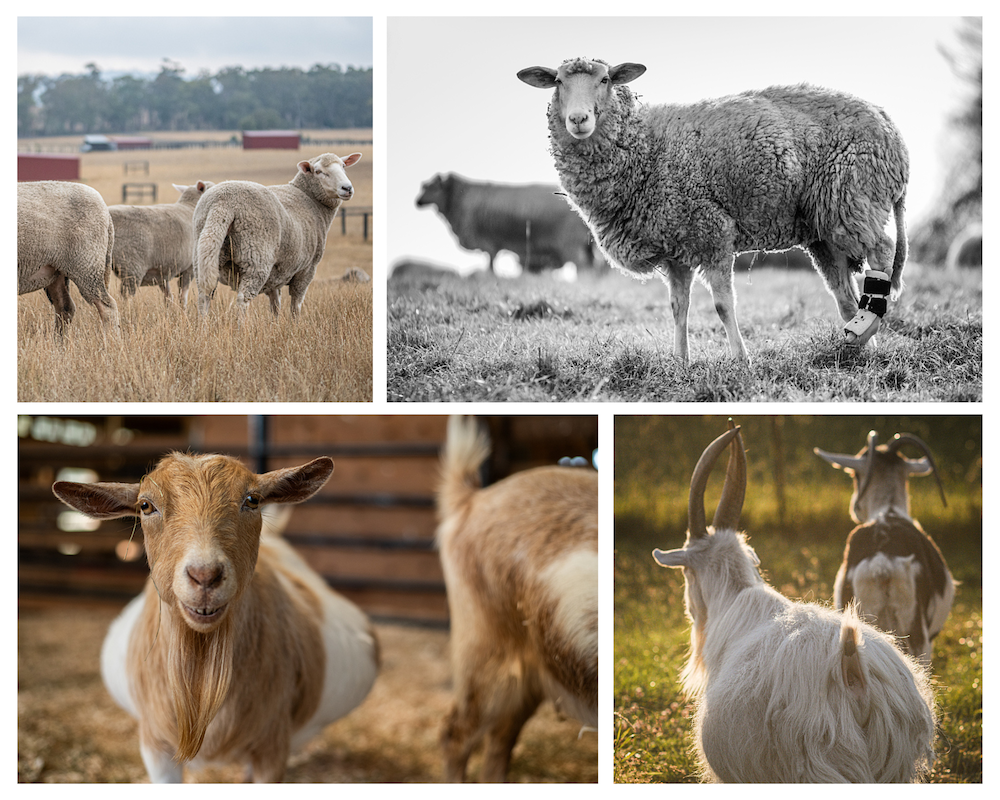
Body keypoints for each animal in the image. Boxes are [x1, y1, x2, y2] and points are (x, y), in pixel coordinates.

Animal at [17, 180, 120, 335]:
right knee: (65, 308)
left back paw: (112, 340)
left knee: (107, 306)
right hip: (56, 270)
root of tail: (106, 212)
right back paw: (58, 341)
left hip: (87, 265)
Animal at [193, 152, 362, 316]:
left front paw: (275, 322)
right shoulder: (307, 270)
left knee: (204, 295)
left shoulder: (276, 272)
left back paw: (204, 323)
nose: (347, 188)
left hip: (206, 251)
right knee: (243, 299)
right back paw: (242, 325)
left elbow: (275, 304)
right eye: (319, 171)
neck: (310, 199)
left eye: (343, 166)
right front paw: (295, 323)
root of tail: (223, 202)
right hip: (256, 258)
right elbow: (296, 304)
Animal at [518, 58, 910, 361]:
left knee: (882, 251)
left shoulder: (711, 233)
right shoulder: (675, 247)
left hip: (853, 197)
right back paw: (861, 346)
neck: (645, 148)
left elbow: (722, 306)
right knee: (844, 294)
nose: (578, 119)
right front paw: (680, 361)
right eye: (557, 81)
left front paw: (740, 359)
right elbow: (678, 308)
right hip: (824, 227)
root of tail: (889, 125)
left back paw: (866, 326)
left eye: (605, 79)